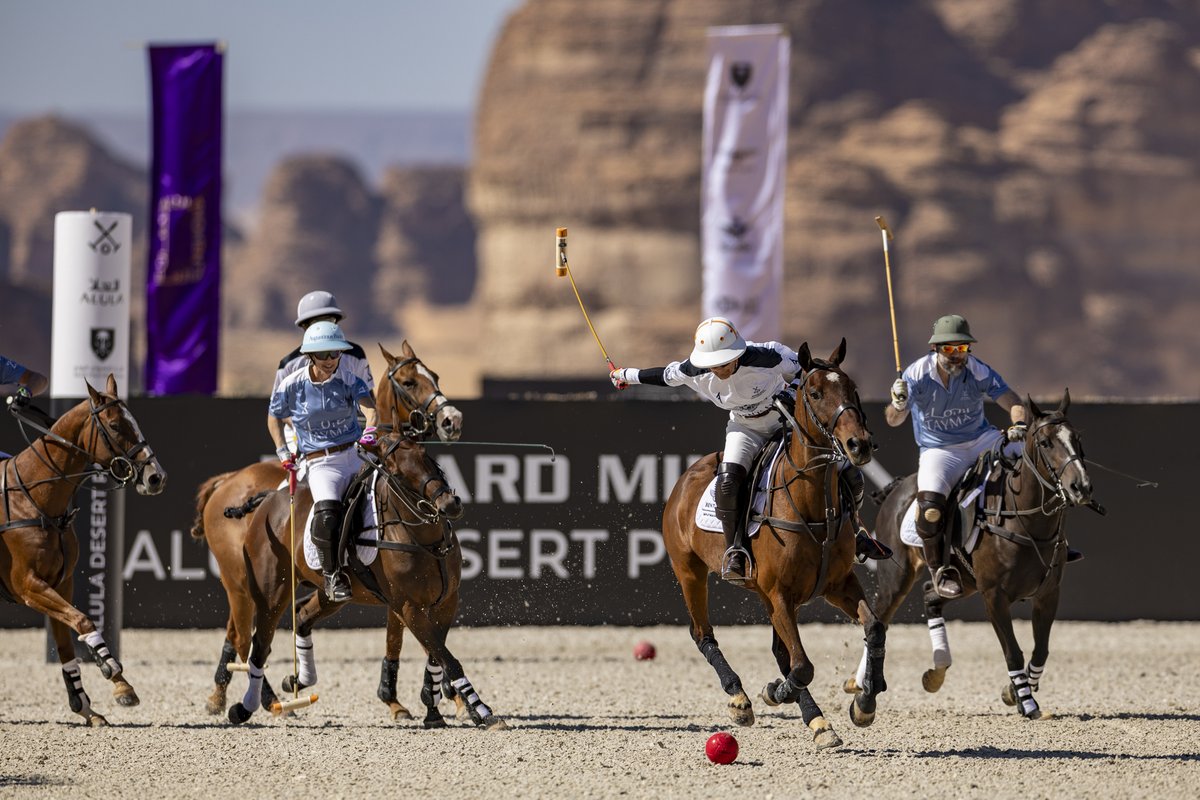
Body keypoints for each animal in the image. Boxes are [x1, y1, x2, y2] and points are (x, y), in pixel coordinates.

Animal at [0, 376, 166, 724]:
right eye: (115, 425)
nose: (156, 476)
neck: (36, 500)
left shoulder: (60, 582)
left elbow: (67, 642)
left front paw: (88, 705)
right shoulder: (27, 585)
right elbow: (84, 622)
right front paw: (112, 670)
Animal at [190, 340, 463, 714]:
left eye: (434, 375)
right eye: (409, 382)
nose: (452, 420)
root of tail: (226, 482)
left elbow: (405, 639)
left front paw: (417, 697)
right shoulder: (405, 599)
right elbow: (416, 639)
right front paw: (424, 697)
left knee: (251, 631)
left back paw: (234, 694)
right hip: (243, 581)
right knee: (247, 637)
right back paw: (261, 698)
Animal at [226, 434, 504, 729]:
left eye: (426, 455)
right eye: (396, 472)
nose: (449, 504)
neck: (426, 540)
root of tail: (270, 498)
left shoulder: (447, 601)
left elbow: (436, 654)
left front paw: (433, 705)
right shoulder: (409, 607)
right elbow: (447, 657)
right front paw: (482, 710)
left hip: (330, 595)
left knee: (302, 615)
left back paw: (298, 679)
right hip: (270, 594)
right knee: (259, 648)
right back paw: (245, 708)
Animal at [662, 340, 888, 753]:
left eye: (853, 388)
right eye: (814, 393)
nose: (859, 445)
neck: (813, 505)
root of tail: (685, 477)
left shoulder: (837, 584)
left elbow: (874, 626)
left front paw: (864, 704)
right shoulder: (780, 592)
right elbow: (802, 666)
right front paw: (774, 692)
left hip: (764, 594)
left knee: (780, 651)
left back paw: (817, 720)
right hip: (689, 570)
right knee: (703, 634)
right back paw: (740, 698)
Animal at [854, 391, 1099, 724]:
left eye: (1077, 438)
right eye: (1046, 442)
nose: (1081, 487)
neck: (1025, 520)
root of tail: (897, 487)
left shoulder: (1048, 592)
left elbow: (1041, 650)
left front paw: (1014, 692)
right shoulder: (994, 596)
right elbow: (1013, 651)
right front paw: (1026, 701)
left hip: (964, 582)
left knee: (930, 594)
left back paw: (936, 671)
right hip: (897, 576)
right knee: (880, 617)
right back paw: (858, 687)